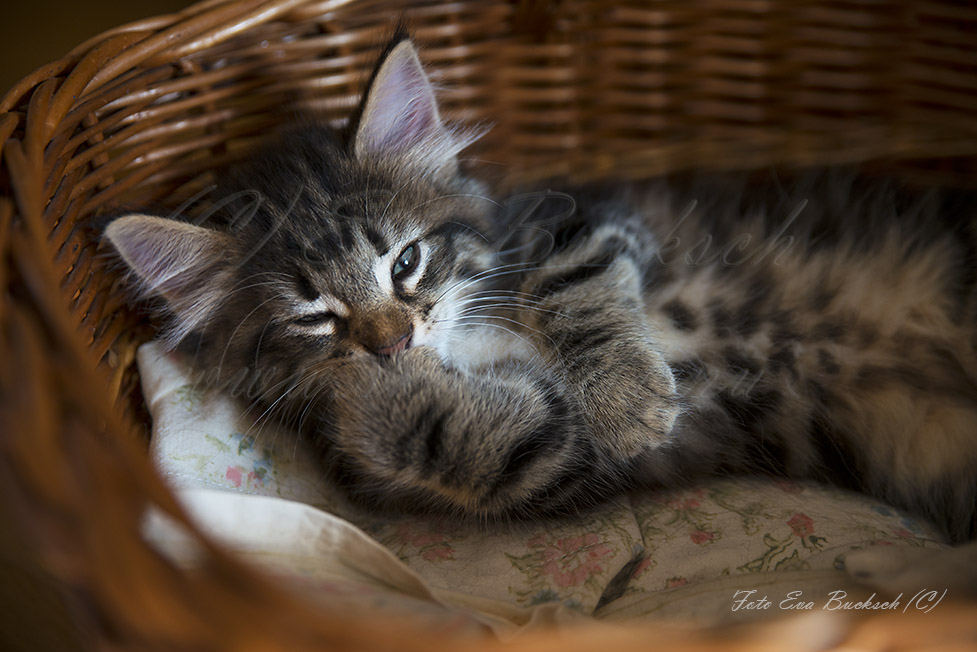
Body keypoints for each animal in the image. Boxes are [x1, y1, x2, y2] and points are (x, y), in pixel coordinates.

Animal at [105, 38, 976, 544]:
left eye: (405, 262)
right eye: (316, 316)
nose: (391, 344)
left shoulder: (583, 219)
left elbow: (574, 289)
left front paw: (629, 401)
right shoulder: (554, 462)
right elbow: (466, 448)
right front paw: (364, 402)